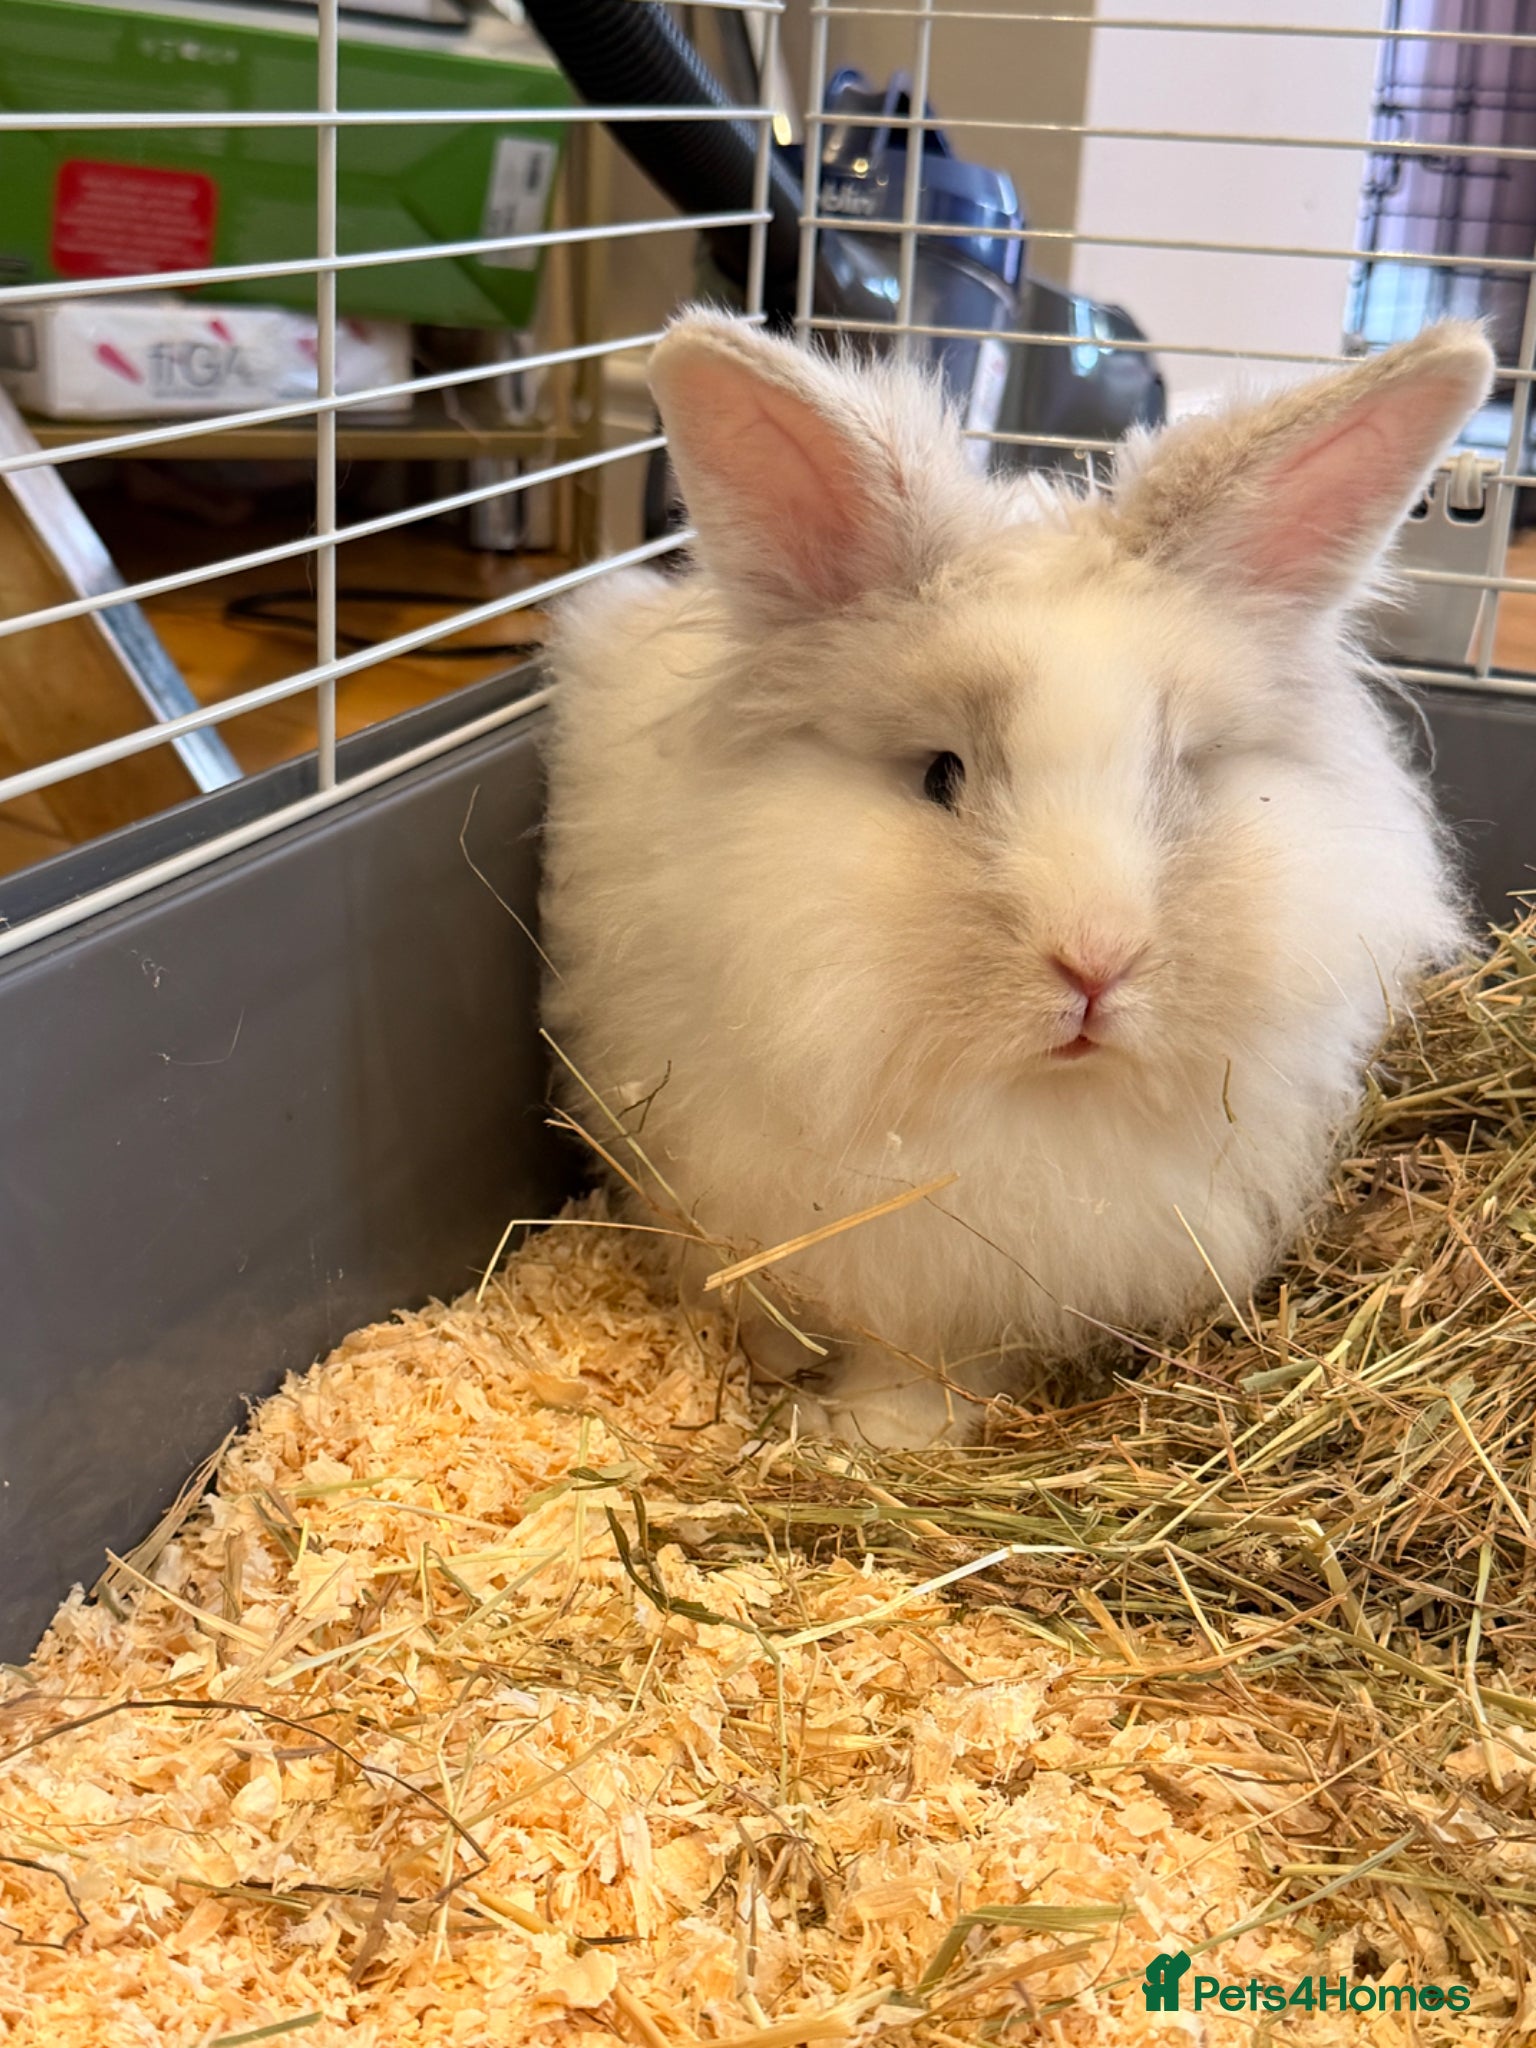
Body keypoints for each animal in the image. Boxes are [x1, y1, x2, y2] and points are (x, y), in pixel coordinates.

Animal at [538, 310, 1494, 1449]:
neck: (1031, 1105)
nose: (1095, 963)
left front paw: (888, 1435)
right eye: (940, 775)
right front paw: (853, 1427)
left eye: (1182, 772)